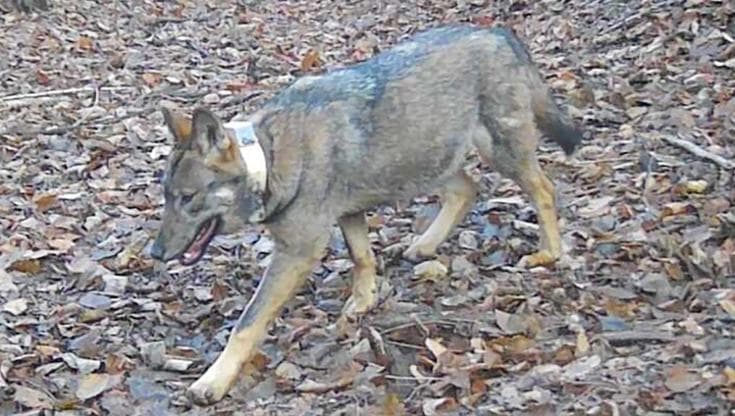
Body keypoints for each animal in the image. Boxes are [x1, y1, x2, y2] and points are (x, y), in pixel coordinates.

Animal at [149, 24, 582, 405]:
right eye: (165, 196)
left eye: (187, 198)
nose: (154, 253)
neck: (270, 159)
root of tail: (499, 33)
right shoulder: (349, 213)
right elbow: (363, 257)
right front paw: (364, 302)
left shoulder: (297, 251)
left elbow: (246, 324)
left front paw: (213, 381)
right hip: (429, 161)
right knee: (466, 189)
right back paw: (425, 245)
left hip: (498, 153)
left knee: (543, 189)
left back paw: (549, 253)